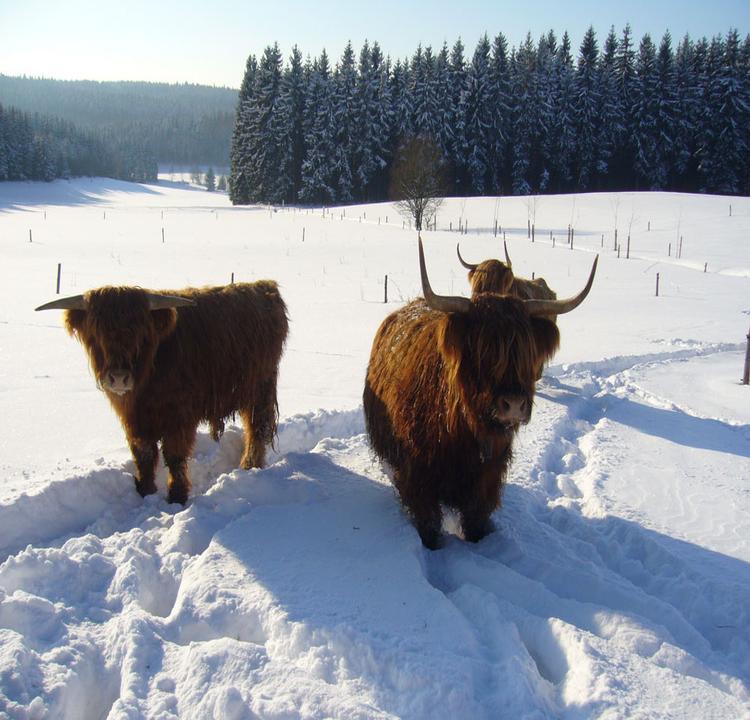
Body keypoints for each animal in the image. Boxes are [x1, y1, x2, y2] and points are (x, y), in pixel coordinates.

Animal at [35, 278, 290, 504]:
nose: (118, 378)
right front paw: (145, 489)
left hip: (260, 387)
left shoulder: (179, 416)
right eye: (98, 335)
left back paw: (249, 465)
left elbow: (174, 456)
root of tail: (265, 286)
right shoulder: (134, 421)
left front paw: (177, 496)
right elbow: (144, 454)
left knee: (257, 427)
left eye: (140, 335)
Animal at [364, 239, 600, 548]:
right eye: (482, 351)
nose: (514, 404)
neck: (459, 430)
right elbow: (428, 524)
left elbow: (476, 519)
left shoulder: (487, 478)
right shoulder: (418, 476)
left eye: (526, 351)